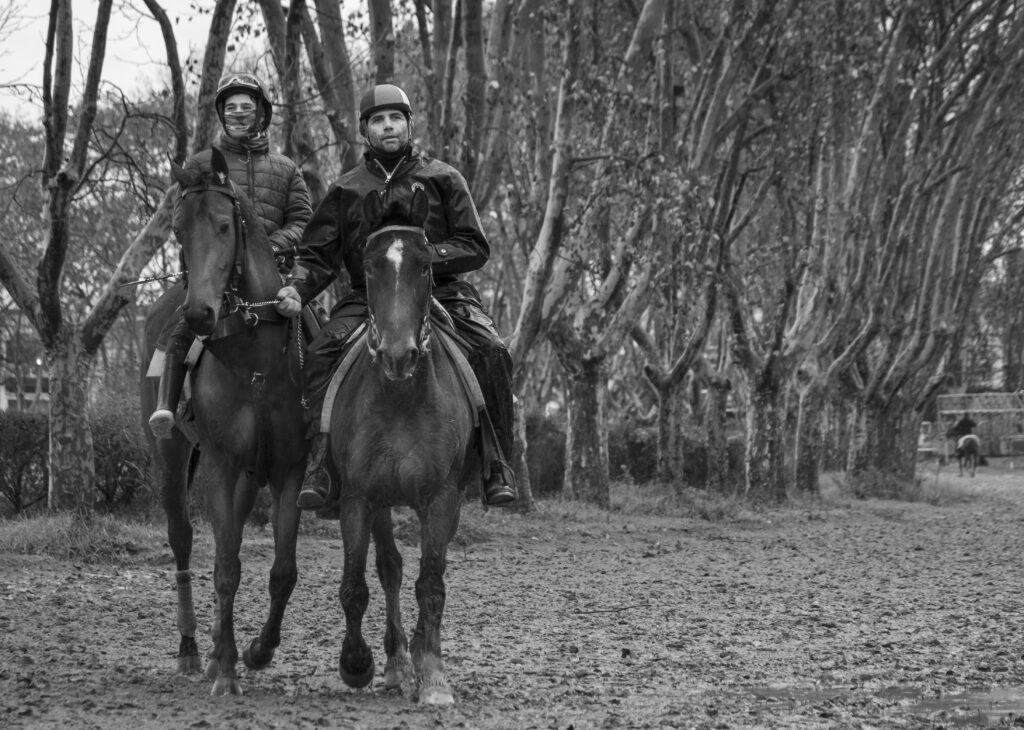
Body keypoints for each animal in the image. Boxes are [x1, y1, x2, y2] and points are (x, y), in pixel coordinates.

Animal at [139, 147, 308, 696]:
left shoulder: (288, 468)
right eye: (176, 229)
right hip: (172, 460)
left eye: (223, 224)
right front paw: (230, 669)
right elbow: (226, 567)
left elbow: (282, 570)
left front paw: (257, 651)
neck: (255, 358)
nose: (198, 316)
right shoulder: (221, 463)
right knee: (185, 542)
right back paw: (195, 650)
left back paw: (214, 650)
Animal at [323, 187, 481, 705]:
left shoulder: (442, 498)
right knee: (388, 568)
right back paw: (393, 663)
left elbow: (430, 583)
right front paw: (357, 663)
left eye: (426, 265)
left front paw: (432, 674)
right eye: (370, 265)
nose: (398, 355)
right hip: (379, 502)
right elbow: (356, 583)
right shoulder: (359, 497)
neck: (399, 397)